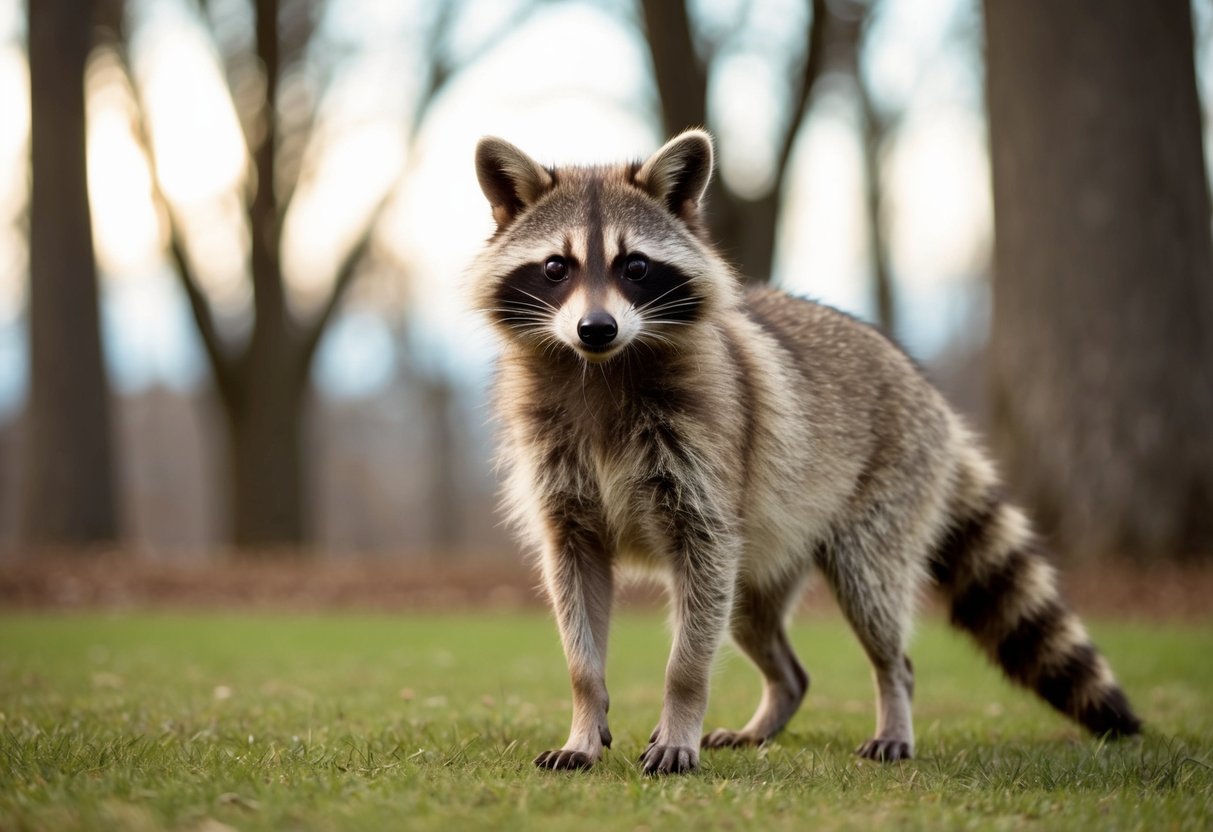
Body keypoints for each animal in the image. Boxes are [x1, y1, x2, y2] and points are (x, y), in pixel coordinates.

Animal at [467, 129, 1141, 775]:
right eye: (557, 267)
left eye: (635, 266)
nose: (596, 328)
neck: (602, 370)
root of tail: (928, 392)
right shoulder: (565, 495)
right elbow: (576, 616)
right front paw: (586, 720)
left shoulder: (707, 468)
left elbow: (691, 648)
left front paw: (679, 709)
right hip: (763, 547)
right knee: (753, 623)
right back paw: (774, 705)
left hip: (884, 496)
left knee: (870, 604)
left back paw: (894, 701)